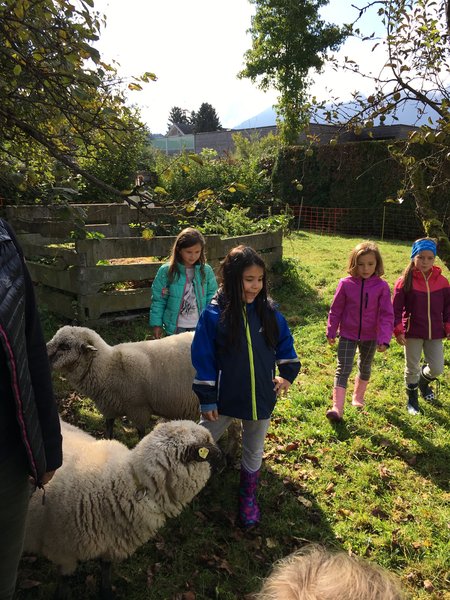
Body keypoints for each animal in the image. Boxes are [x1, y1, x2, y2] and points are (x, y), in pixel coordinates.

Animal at [23, 419, 224, 599]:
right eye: (207, 444)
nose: (224, 459)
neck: (128, 482)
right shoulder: (63, 552)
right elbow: (64, 584)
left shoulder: (112, 544)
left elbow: (106, 571)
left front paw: (106, 593)